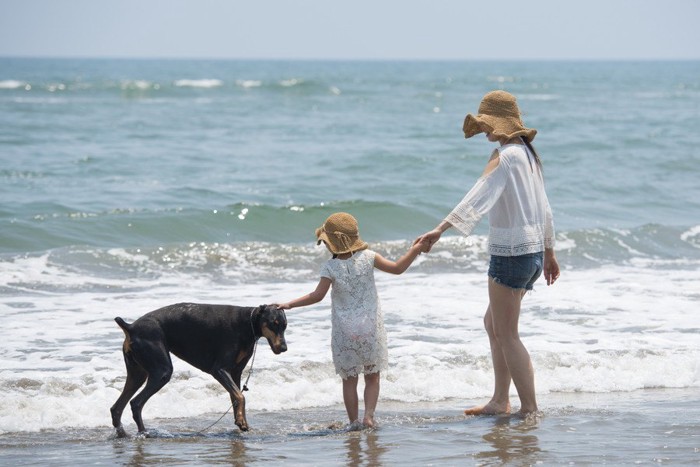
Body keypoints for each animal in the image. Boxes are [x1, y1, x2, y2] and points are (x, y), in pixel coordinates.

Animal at [109, 304, 288, 438]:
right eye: (273, 323)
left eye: (285, 326)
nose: (284, 348)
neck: (247, 322)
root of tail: (130, 327)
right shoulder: (219, 369)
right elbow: (241, 396)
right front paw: (242, 422)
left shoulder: (235, 373)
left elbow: (236, 397)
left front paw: (240, 421)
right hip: (162, 371)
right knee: (136, 403)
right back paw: (144, 433)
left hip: (137, 373)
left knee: (117, 408)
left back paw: (123, 435)